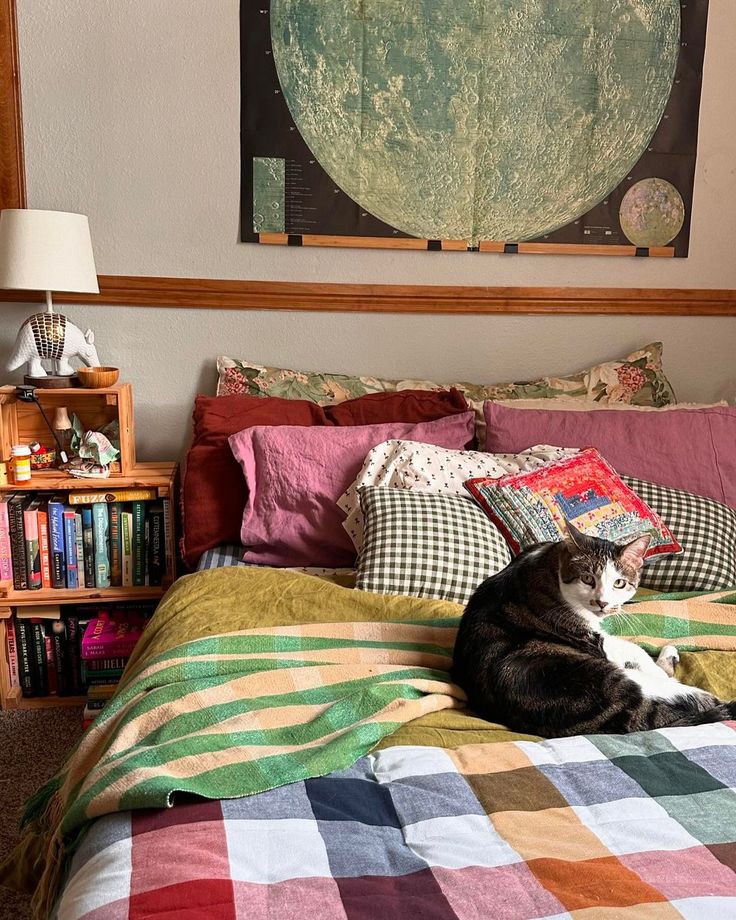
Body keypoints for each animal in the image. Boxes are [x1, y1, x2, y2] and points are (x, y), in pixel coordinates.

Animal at [452, 520, 732, 736]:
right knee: (692, 695)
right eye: (587, 579)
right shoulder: (590, 636)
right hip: (610, 679)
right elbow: (633, 648)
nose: (602, 602)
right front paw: (655, 663)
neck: (551, 561)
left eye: (619, 583)